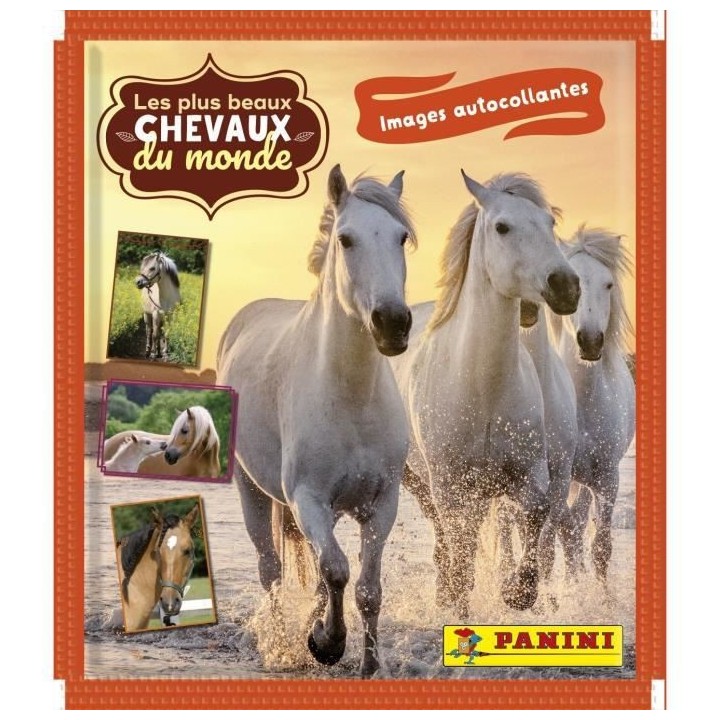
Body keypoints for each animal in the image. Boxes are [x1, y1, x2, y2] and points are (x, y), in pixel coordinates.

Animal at [216, 164, 416, 677]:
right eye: (346, 239)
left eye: (401, 237)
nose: (393, 323)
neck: (351, 397)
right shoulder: (307, 498)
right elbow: (337, 570)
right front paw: (327, 643)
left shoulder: (382, 504)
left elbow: (366, 588)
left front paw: (368, 665)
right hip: (253, 491)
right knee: (271, 569)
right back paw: (281, 644)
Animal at [390, 170, 580, 619]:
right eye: (502, 227)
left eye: (550, 224)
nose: (566, 286)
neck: (484, 389)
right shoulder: (449, 485)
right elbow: (460, 550)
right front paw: (460, 606)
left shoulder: (530, 474)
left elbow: (537, 515)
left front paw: (518, 593)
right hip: (421, 481)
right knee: (447, 540)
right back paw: (446, 596)